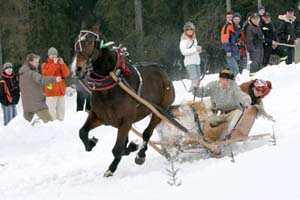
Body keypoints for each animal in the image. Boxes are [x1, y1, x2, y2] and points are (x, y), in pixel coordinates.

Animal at [72, 25, 176, 177]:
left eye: (89, 42)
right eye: (76, 43)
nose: (77, 69)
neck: (112, 83)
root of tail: (163, 72)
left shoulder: (126, 121)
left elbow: (117, 149)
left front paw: (111, 169)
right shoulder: (99, 117)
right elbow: (82, 132)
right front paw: (91, 143)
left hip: (159, 111)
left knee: (147, 133)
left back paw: (141, 155)